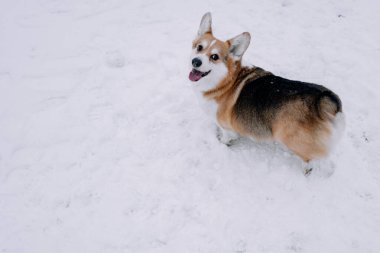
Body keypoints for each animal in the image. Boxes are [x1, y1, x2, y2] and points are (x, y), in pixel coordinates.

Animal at [189, 12, 344, 174]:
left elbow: (227, 137)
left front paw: (222, 142)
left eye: (214, 57)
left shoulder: (226, 127)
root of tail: (323, 101)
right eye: (199, 47)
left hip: (292, 139)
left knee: (310, 159)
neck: (225, 82)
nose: (196, 61)